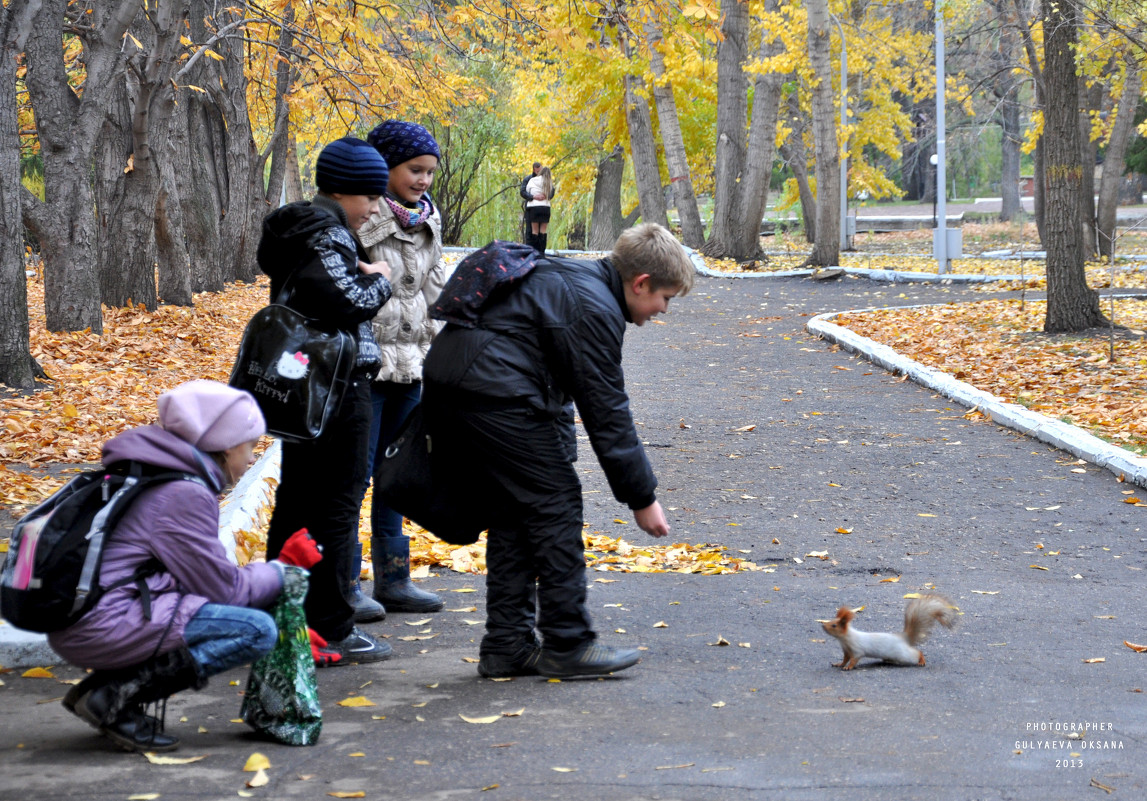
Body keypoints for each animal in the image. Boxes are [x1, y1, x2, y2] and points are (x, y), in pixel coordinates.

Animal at [825, 592, 958, 665]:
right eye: (831, 621)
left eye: (834, 625)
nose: (823, 626)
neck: (846, 638)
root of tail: (904, 638)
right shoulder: (847, 651)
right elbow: (845, 659)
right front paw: (839, 664)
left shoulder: (857, 649)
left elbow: (854, 659)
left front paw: (848, 667)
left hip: (903, 654)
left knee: (916, 653)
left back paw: (921, 660)